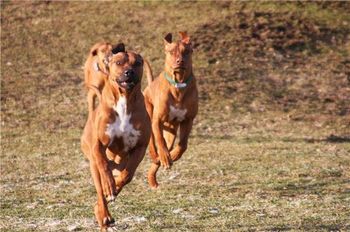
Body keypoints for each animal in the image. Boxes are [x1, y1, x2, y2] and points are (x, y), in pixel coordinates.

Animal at [81, 43, 151, 230]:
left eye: (137, 63)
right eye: (119, 62)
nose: (129, 72)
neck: (124, 100)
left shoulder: (140, 146)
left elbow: (127, 175)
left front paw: (116, 186)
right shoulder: (98, 145)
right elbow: (104, 167)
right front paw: (109, 187)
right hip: (92, 162)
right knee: (99, 188)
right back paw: (104, 214)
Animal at [142, 32, 197, 188]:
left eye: (186, 51)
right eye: (171, 52)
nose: (180, 61)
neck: (178, 85)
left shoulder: (188, 120)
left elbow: (183, 144)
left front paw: (173, 156)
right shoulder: (156, 121)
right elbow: (159, 141)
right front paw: (165, 157)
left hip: (171, 131)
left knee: (166, 146)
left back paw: (153, 179)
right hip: (149, 116)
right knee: (152, 142)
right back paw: (156, 156)